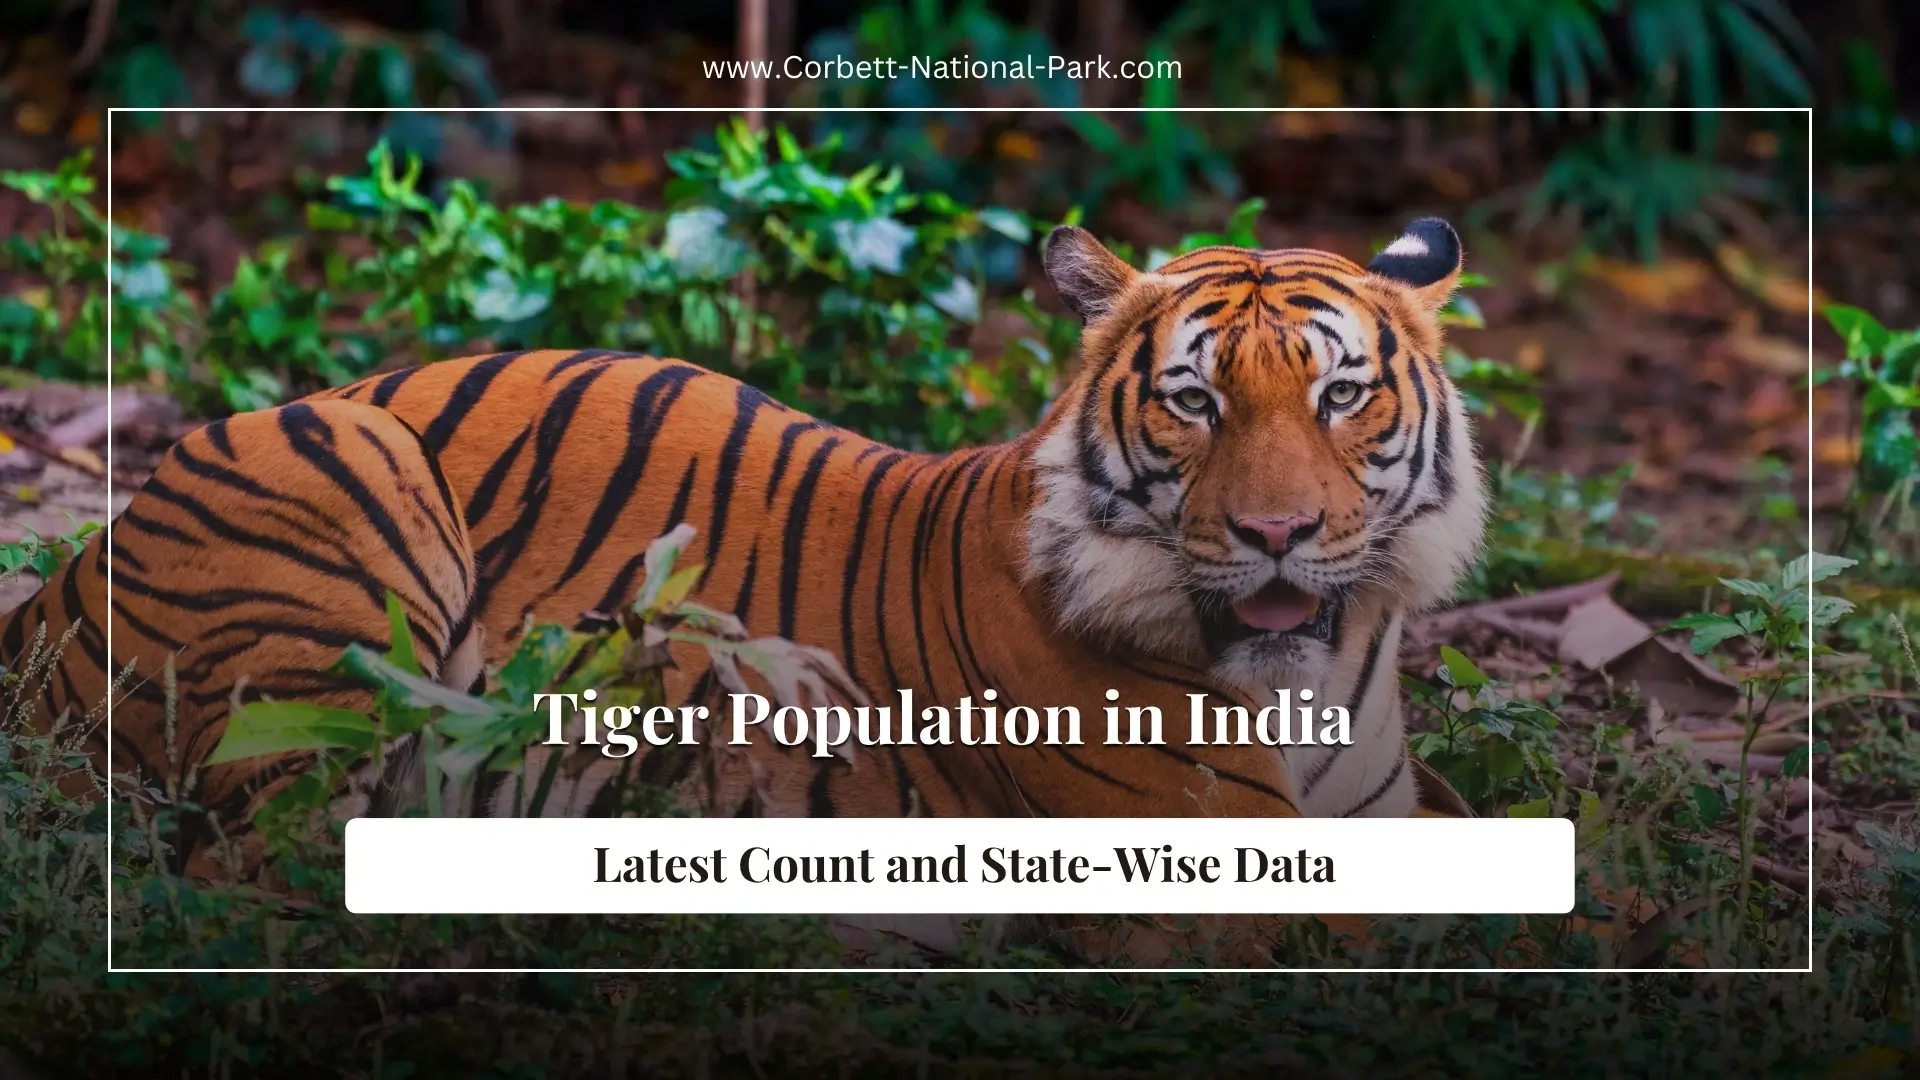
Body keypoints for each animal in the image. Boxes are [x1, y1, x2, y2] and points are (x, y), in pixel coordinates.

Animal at [0, 217, 1486, 963]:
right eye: (1194, 402)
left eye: (1340, 396)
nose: (1280, 532)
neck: (1310, 684)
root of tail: (56, 585)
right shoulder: (1208, 883)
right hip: (348, 477)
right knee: (262, 877)